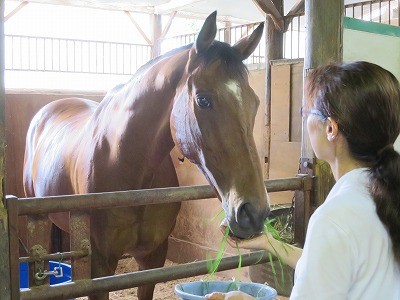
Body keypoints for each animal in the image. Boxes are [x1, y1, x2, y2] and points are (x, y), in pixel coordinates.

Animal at [23, 11, 270, 300]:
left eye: (255, 102)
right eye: (203, 100)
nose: (253, 213)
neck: (126, 165)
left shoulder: (153, 258)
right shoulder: (100, 265)